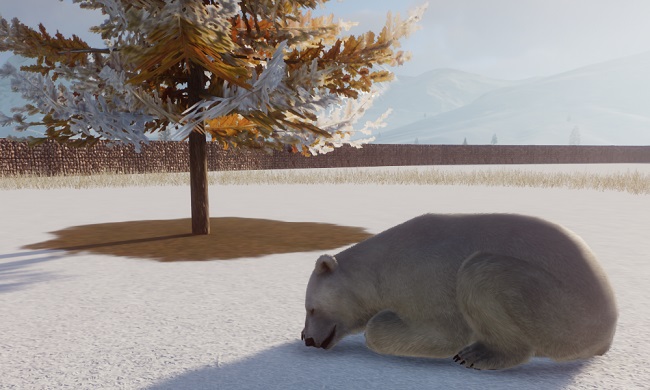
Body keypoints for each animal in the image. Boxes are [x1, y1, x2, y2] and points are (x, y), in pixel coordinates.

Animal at [302, 215, 616, 370]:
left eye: (311, 308)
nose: (306, 339)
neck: (381, 265)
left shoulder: (425, 279)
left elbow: (443, 333)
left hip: (562, 311)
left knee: (482, 273)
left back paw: (477, 355)